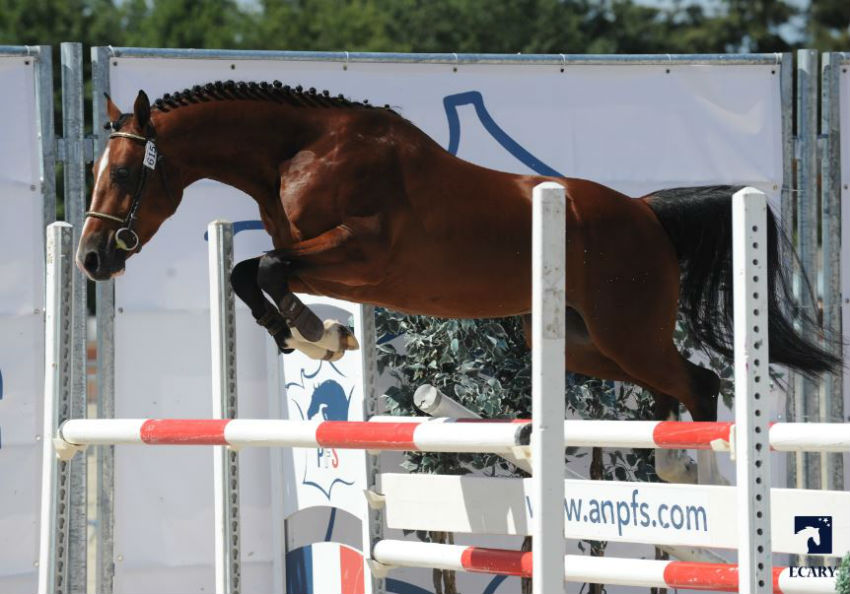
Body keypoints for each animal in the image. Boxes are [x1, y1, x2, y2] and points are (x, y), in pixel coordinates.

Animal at [76, 82, 840, 426]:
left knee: (699, 384)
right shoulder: (325, 259)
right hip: (582, 341)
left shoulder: (360, 254)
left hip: (628, 332)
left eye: (125, 174)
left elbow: (261, 266)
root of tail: (647, 212)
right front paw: (314, 334)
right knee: (674, 388)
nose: (90, 260)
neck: (300, 151)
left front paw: (317, 332)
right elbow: (248, 269)